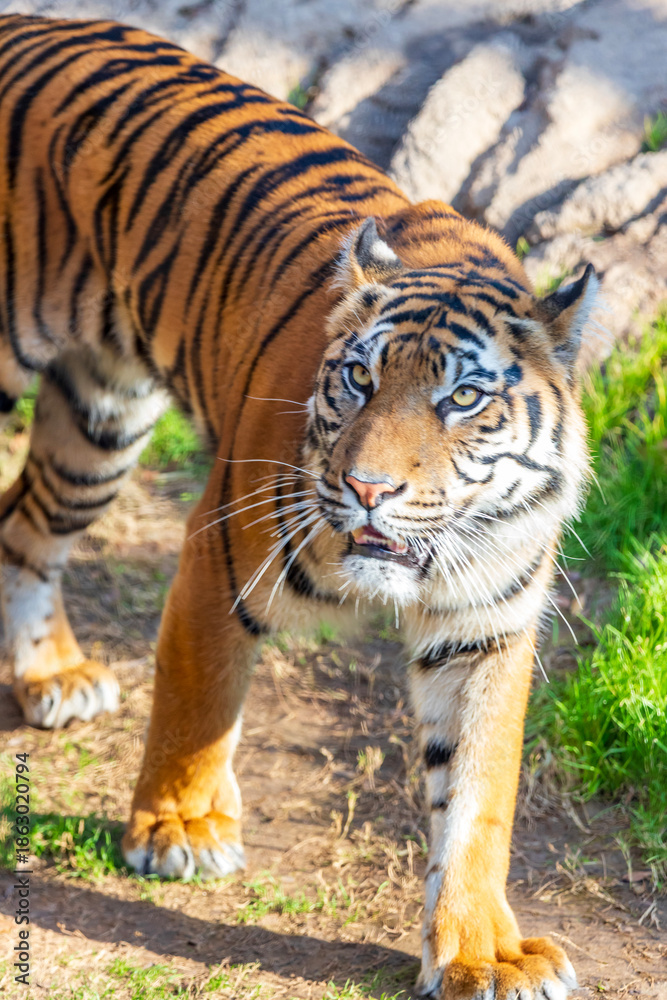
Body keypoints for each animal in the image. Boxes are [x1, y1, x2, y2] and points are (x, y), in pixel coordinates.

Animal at [0, 12, 598, 999]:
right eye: (358, 379)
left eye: (462, 399)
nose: (368, 488)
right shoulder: (220, 557)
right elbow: (198, 701)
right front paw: (179, 828)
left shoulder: (485, 630)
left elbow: (477, 796)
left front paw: (481, 951)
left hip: (100, 419)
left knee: (24, 525)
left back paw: (53, 676)